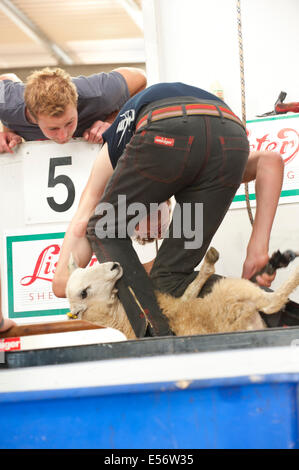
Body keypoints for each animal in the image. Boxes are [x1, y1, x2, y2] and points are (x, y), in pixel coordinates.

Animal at [66, 248, 299, 340]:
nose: (114, 266)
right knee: (273, 302)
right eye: (84, 292)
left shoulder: (176, 302)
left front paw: (207, 265)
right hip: (231, 290)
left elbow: (191, 289)